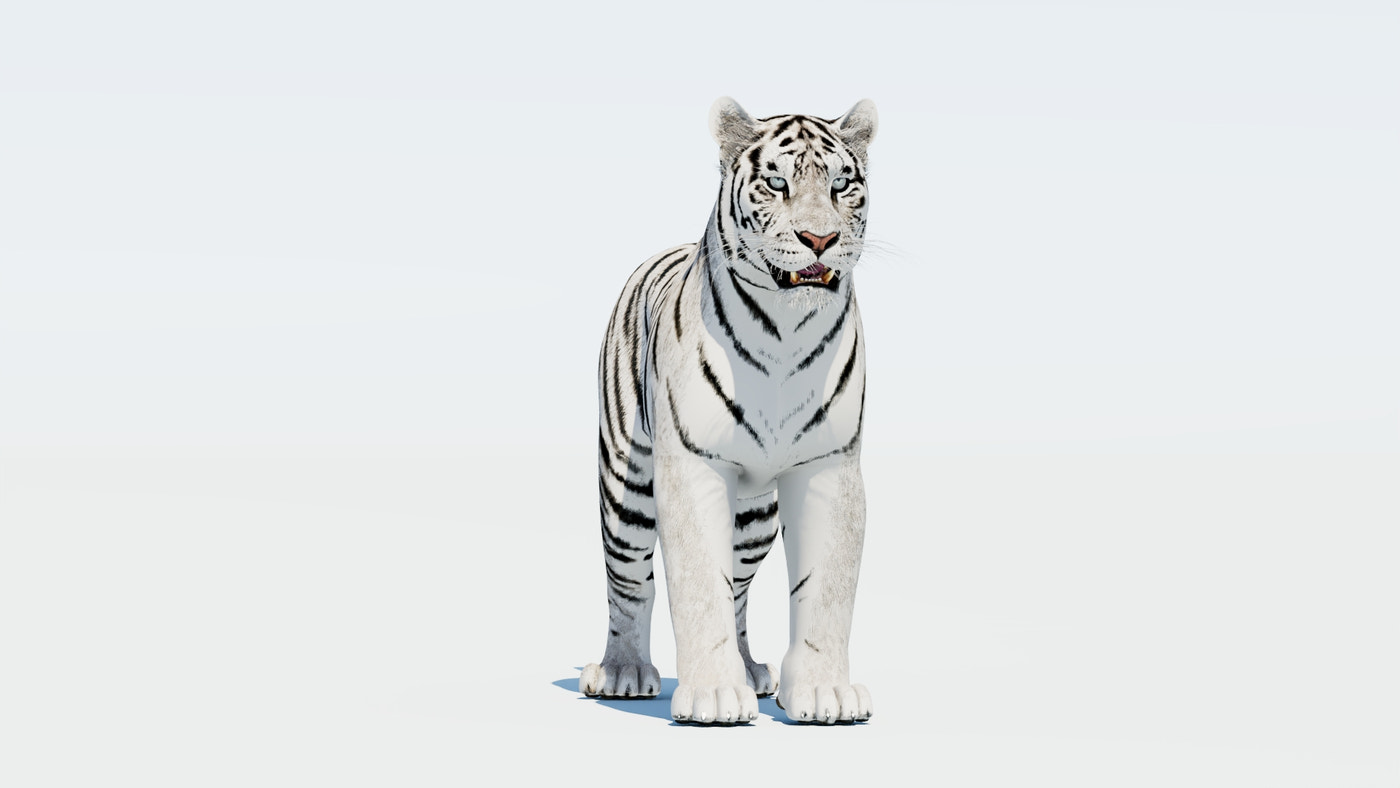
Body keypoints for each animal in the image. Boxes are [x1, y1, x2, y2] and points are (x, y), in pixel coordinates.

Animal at [580, 97, 877, 725]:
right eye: (776, 183)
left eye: (841, 185)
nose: (819, 238)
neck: (787, 331)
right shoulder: (691, 466)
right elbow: (698, 585)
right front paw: (714, 697)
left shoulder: (830, 465)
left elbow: (826, 587)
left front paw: (825, 694)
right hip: (627, 485)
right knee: (628, 581)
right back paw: (622, 672)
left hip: (754, 517)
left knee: (738, 588)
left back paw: (750, 671)